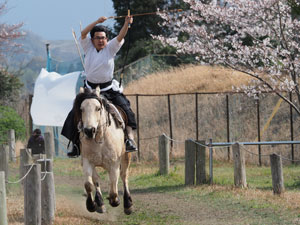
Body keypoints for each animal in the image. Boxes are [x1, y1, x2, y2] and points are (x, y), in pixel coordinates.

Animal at [72, 86, 132, 214]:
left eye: (98, 108)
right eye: (81, 109)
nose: (89, 130)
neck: (100, 139)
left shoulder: (114, 163)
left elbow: (114, 185)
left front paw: (115, 200)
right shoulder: (87, 161)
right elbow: (89, 184)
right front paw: (92, 205)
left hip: (126, 157)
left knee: (124, 176)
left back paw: (127, 204)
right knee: (97, 180)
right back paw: (100, 203)